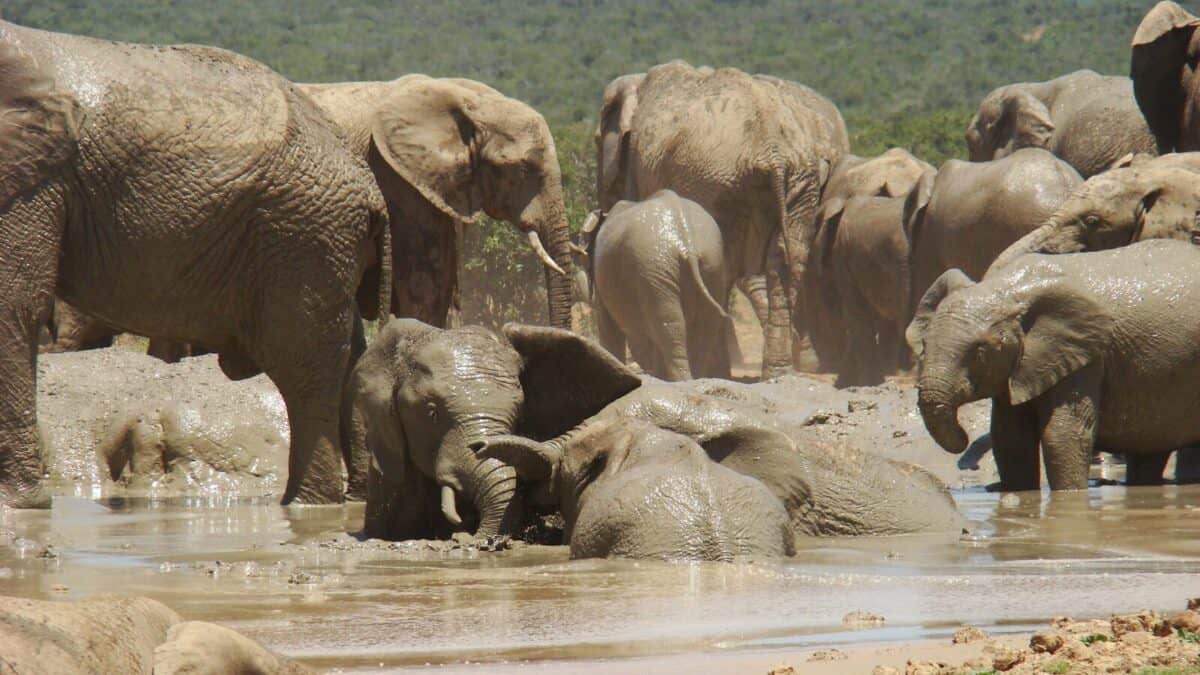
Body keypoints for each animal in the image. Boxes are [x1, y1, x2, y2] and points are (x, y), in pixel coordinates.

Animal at [0, 21, 390, 506]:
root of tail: (368, 184)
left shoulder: (32, 177)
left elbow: (12, 304)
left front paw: (18, 506)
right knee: (346, 353)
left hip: (303, 231)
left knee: (303, 363)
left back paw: (306, 506)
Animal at [579, 189, 734, 381]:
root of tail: (687, 242)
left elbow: (610, 329)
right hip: (712, 264)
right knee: (705, 326)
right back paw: (692, 379)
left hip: (653, 267)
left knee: (668, 326)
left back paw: (682, 380)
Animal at [597, 61, 850, 377]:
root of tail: (775, 152)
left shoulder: (636, 162)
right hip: (797, 183)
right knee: (785, 260)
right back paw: (778, 371)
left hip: (716, 182)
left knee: (724, 268)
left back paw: (714, 369)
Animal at [907, 240, 1200, 491]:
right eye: (924, 344)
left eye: (980, 351)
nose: (964, 436)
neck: (1008, 289)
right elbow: (1010, 438)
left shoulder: (1087, 354)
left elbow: (1061, 435)